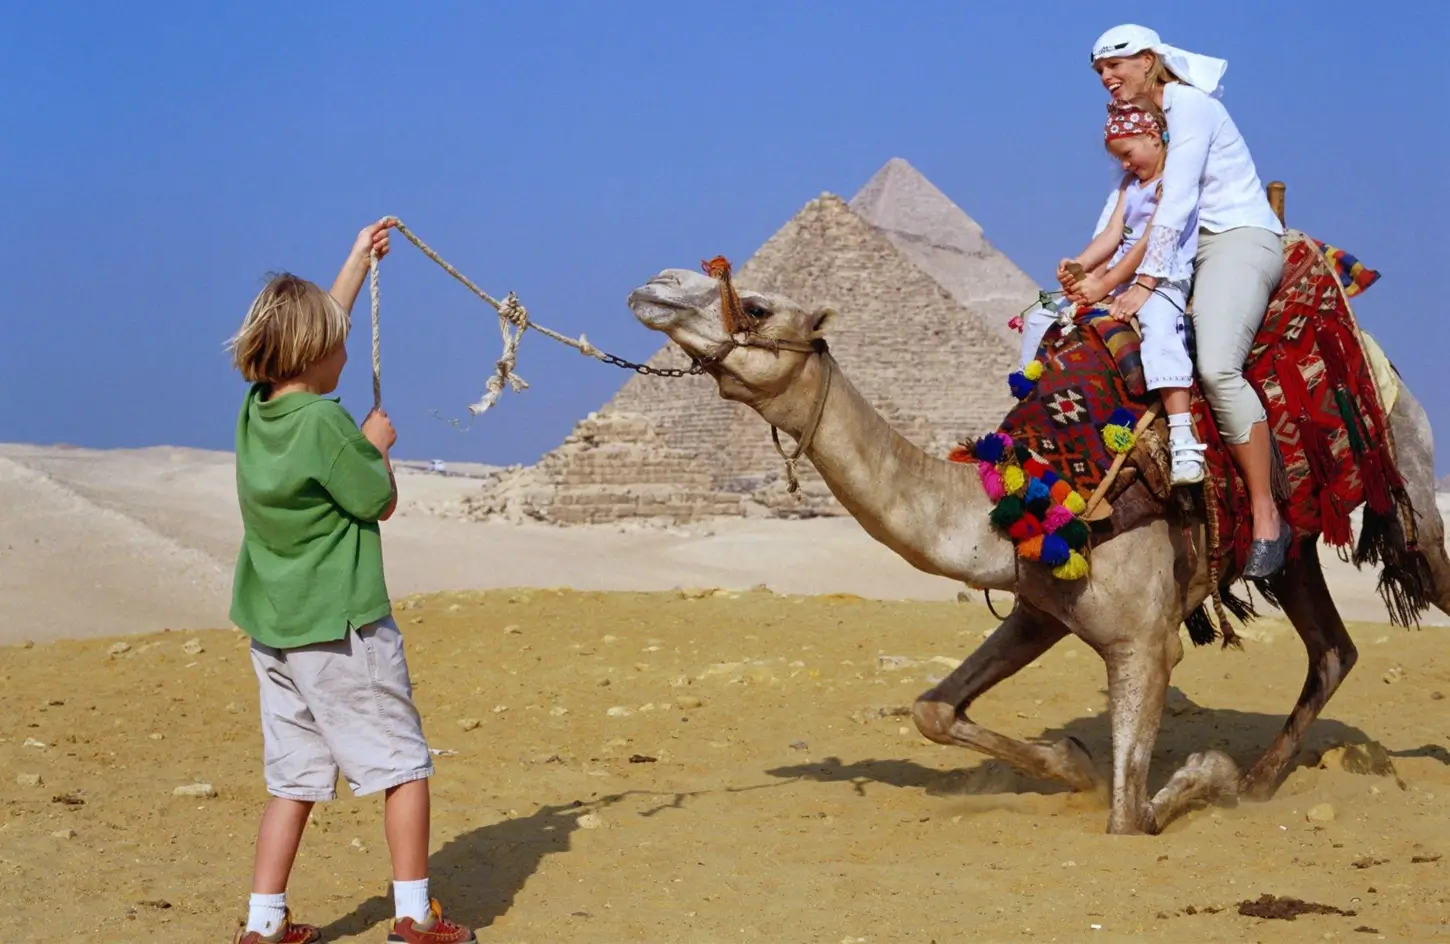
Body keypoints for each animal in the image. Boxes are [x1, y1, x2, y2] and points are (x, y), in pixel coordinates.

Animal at [625, 265, 1450, 836]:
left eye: (756, 306)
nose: (655, 284)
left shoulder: (1144, 643)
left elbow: (1129, 818)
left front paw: (1206, 772)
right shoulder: (1041, 608)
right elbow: (933, 709)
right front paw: (1072, 762)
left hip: (1407, 483)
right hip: (1294, 543)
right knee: (1333, 649)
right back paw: (1261, 781)